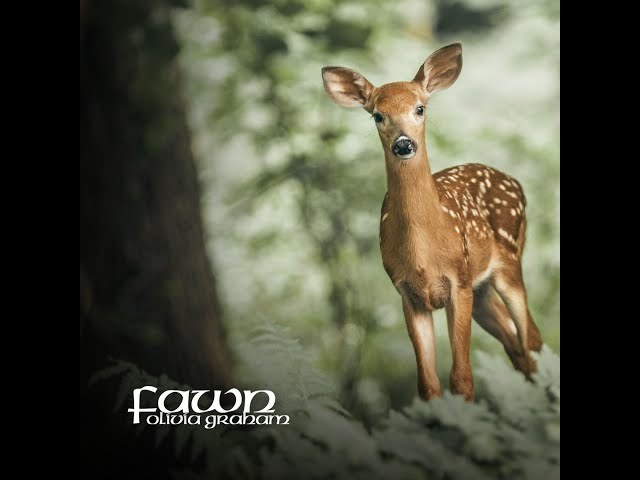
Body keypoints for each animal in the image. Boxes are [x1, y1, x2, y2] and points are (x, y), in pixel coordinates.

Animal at [321, 43, 543, 401]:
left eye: (420, 108)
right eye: (377, 115)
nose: (403, 144)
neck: (424, 252)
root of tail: (515, 182)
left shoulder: (458, 282)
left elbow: (462, 379)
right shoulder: (407, 293)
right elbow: (427, 384)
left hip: (508, 261)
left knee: (532, 339)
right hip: (482, 290)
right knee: (516, 345)